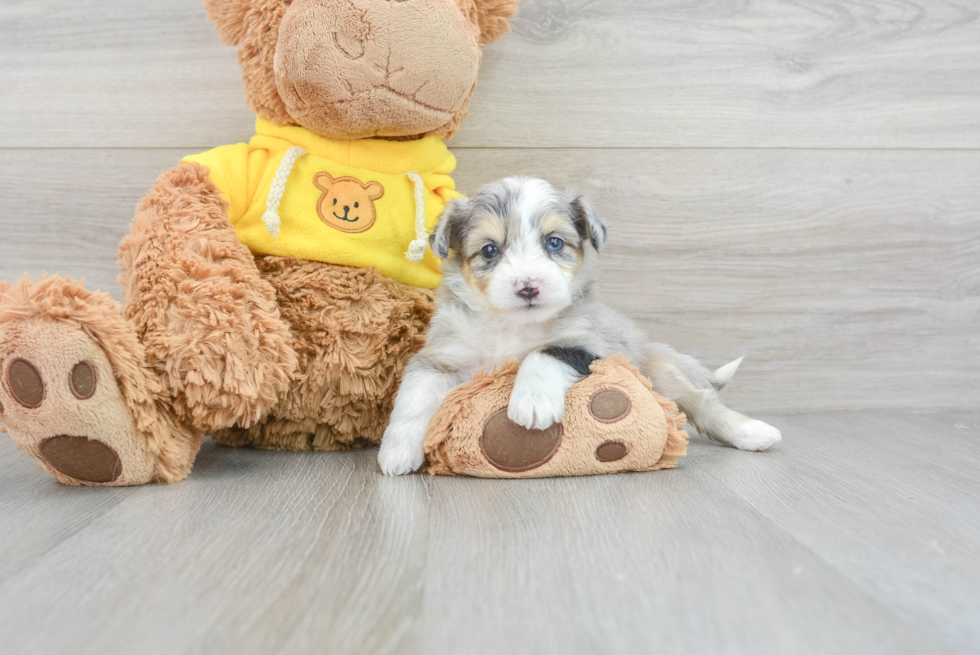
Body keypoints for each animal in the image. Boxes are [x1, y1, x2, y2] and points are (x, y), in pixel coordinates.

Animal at [378, 177, 784, 474]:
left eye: (555, 242)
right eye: (490, 250)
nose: (528, 287)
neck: (512, 325)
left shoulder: (591, 346)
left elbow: (545, 353)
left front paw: (532, 402)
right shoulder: (440, 354)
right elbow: (414, 397)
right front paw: (396, 451)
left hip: (661, 372)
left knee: (706, 404)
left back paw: (752, 432)